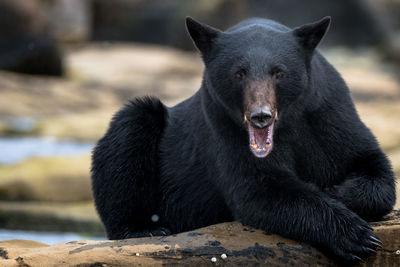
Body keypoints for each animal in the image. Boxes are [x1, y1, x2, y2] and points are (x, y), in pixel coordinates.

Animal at [91, 17, 396, 266]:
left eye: (279, 72)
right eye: (238, 73)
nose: (260, 116)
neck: (287, 124)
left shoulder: (330, 114)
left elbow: (373, 167)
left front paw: (338, 193)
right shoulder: (223, 129)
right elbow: (258, 189)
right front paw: (356, 236)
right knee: (129, 131)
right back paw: (143, 228)